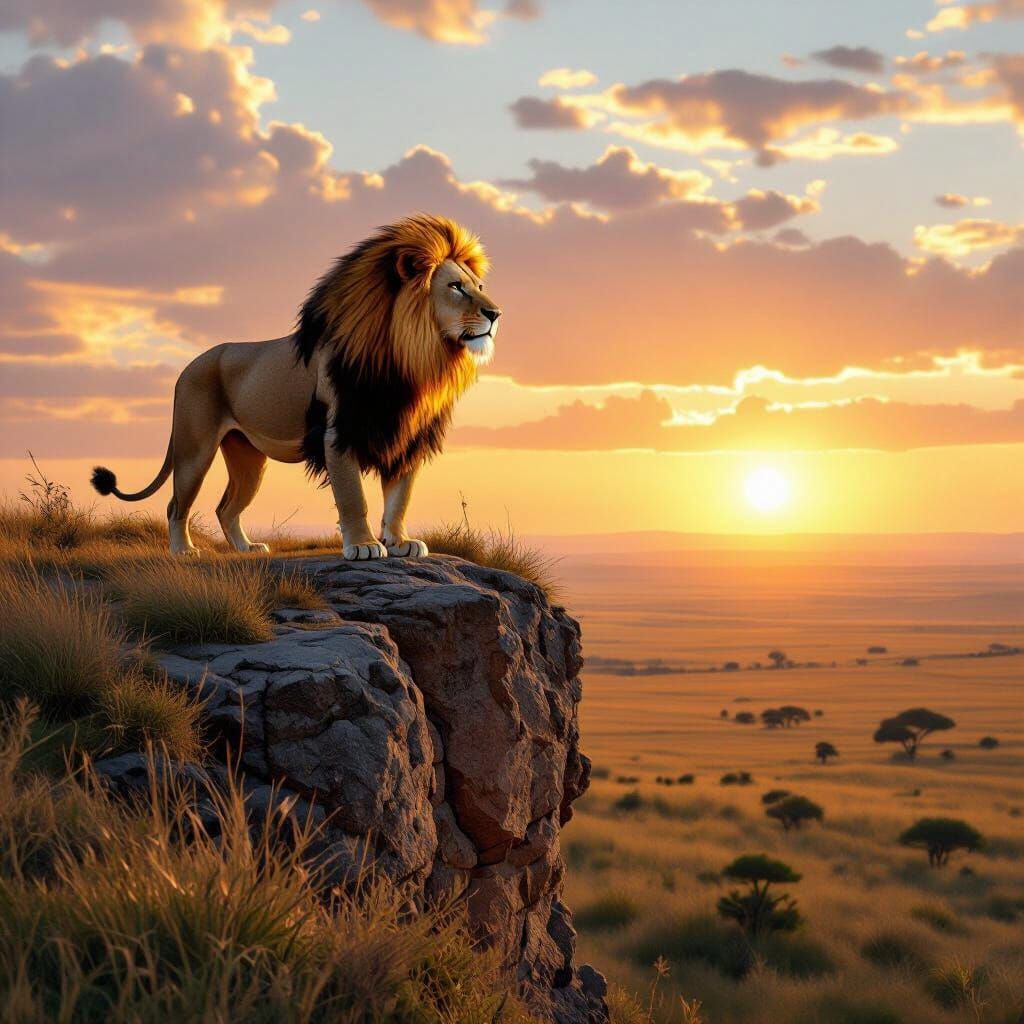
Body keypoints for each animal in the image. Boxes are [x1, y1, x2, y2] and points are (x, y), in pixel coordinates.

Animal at [90, 214, 501, 559]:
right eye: (456, 288)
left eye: (480, 286)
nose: (496, 313)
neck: (412, 360)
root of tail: (189, 365)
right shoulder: (338, 434)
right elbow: (354, 497)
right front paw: (364, 546)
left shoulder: (405, 436)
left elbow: (400, 497)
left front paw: (401, 542)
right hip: (195, 449)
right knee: (177, 505)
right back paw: (184, 551)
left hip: (247, 458)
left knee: (226, 507)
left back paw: (247, 549)